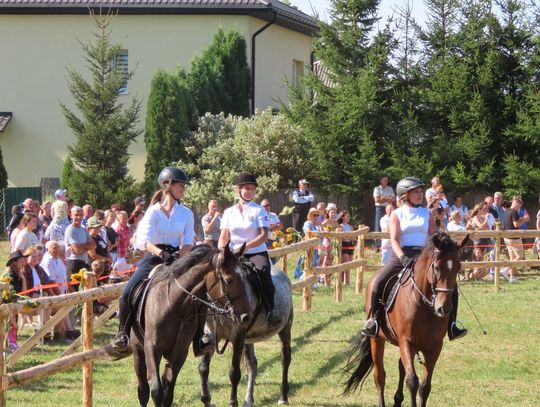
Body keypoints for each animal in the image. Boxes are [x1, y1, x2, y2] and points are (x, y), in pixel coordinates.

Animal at [131, 245, 251, 407]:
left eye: (244, 277)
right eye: (229, 280)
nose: (246, 317)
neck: (174, 306)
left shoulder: (180, 352)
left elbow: (168, 389)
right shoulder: (151, 347)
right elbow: (156, 390)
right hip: (138, 350)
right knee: (143, 389)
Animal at [198, 264, 294, 407]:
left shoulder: (237, 338)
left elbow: (234, 373)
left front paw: (232, 402)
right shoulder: (211, 336)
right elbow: (203, 368)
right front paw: (207, 400)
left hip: (285, 329)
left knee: (285, 359)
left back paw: (283, 397)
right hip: (248, 340)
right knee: (252, 364)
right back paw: (248, 400)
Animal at [346, 233, 468, 407]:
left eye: (458, 267)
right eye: (437, 267)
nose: (444, 308)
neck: (425, 305)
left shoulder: (435, 347)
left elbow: (424, 386)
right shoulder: (407, 342)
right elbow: (412, 382)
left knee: (400, 366)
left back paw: (398, 399)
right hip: (377, 339)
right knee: (379, 376)